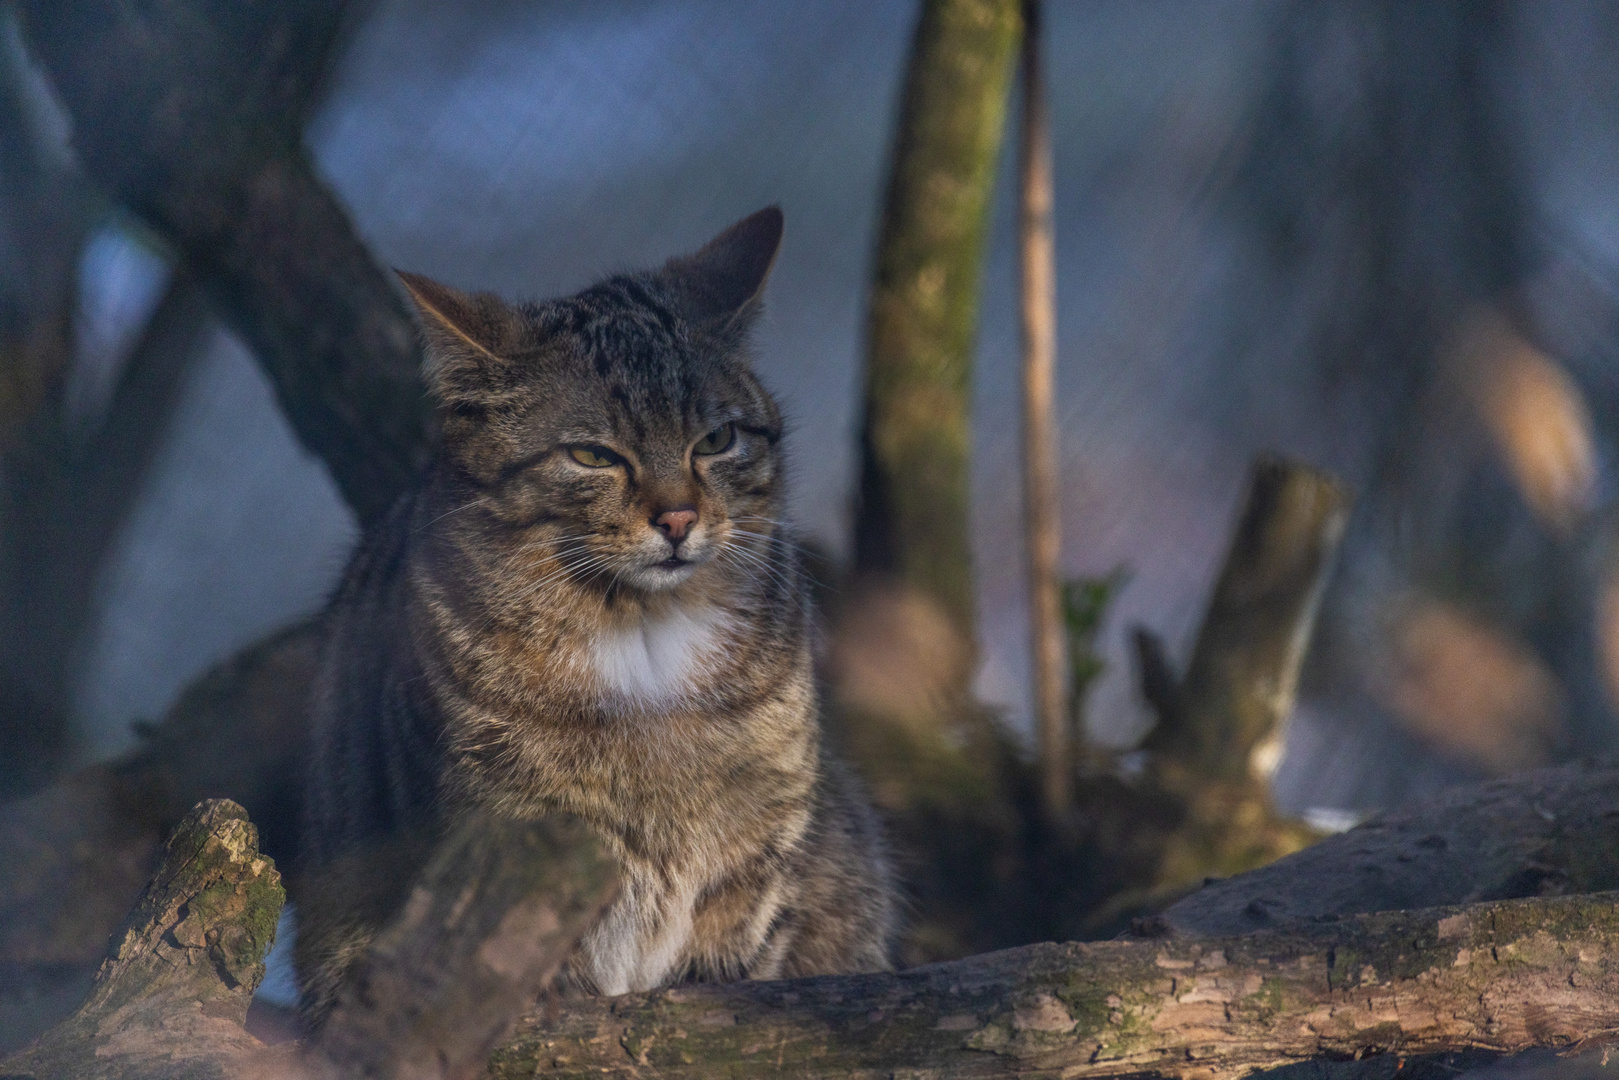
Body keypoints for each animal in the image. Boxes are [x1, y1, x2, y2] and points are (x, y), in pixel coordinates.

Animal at [294, 208, 900, 1023]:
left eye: (716, 440)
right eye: (592, 455)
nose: (677, 518)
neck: (648, 644)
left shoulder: (756, 849)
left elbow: (728, 960)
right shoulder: (507, 844)